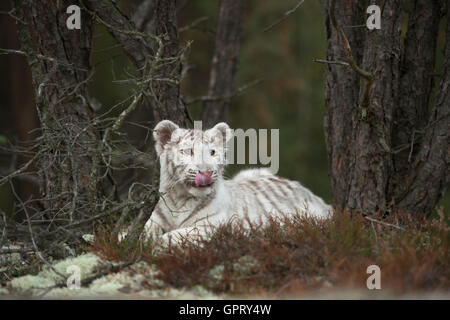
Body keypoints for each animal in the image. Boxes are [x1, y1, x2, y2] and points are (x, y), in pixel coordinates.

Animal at [142, 120, 332, 245]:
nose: (206, 171)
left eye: (212, 152)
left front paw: (157, 246)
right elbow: (140, 232)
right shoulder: (153, 221)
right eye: (188, 151)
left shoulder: (210, 227)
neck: (180, 198)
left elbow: (172, 236)